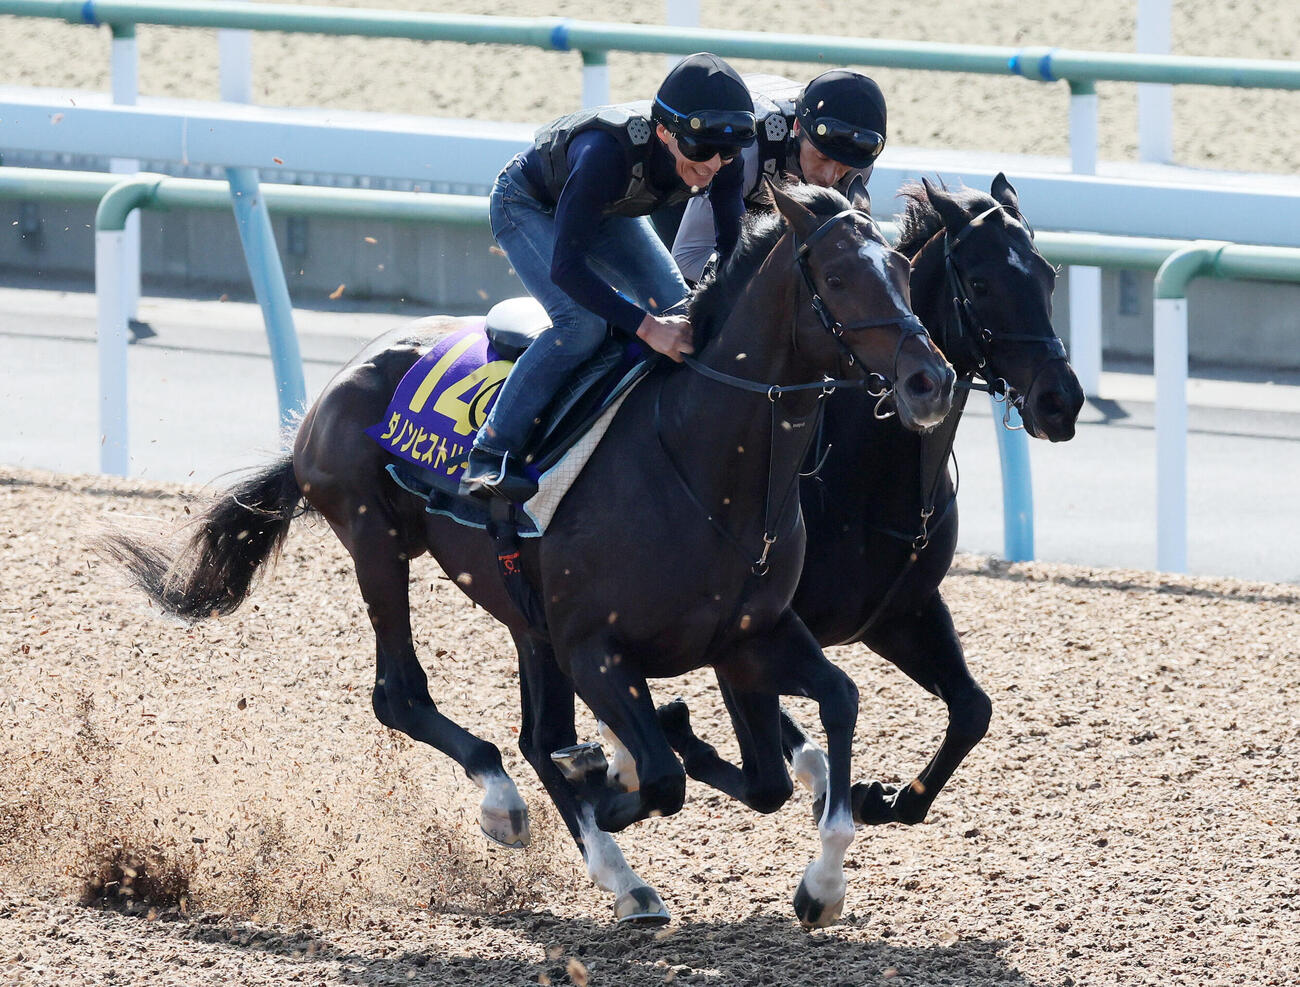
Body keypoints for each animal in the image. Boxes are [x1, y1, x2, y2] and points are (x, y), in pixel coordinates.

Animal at [101, 181, 957, 929]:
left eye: (903, 269)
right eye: (839, 277)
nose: (930, 379)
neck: (699, 464)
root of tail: (333, 387)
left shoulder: (750, 635)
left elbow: (829, 711)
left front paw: (821, 884)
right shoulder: (596, 648)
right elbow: (663, 776)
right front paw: (617, 778)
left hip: (524, 611)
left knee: (535, 733)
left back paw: (618, 865)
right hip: (378, 543)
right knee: (402, 696)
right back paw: (515, 809)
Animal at [656, 174, 1086, 833]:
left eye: (1046, 275)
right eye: (981, 284)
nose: (1062, 401)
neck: (866, 477)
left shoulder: (901, 612)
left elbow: (974, 708)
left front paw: (889, 797)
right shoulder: (756, 628)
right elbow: (769, 758)